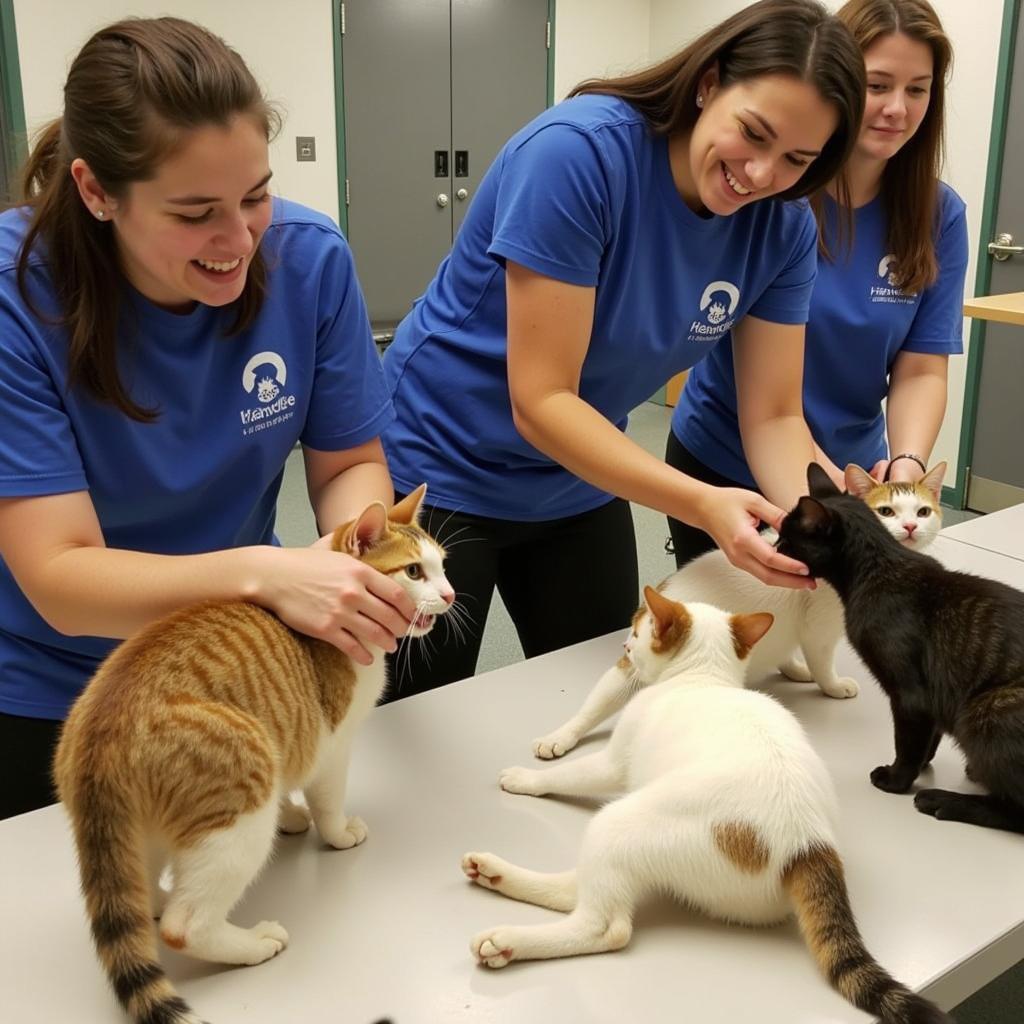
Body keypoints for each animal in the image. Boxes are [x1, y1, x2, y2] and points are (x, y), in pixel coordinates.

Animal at [52, 485, 452, 1024]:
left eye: (442, 565)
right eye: (413, 572)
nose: (450, 595)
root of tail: (103, 726)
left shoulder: (290, 738)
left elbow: (291, 789)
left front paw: (293, 816)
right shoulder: (332, 744)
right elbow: (328, 801)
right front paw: (336, 832)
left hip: (143, 827)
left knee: (148, 887)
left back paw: (155, 897)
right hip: (239, 806)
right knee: (184, 925)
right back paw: (252, 943)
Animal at [464, 589, 950, 1024]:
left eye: (637, 630)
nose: (624, 646)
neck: (703, 678)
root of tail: (809, 846)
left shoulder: (613, 764)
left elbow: (567, 775)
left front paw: (524, 779)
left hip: (620, 821)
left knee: (604, 925)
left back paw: (506, 941)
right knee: (578, 888)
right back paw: (493, 873)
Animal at [532, 464, 946, 761]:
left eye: (923, 511)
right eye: (887, 511)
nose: (910, 526)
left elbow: (788, 648)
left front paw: (793, 669)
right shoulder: (819, 629)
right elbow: (822, 662)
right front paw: (829, 683)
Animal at [774, 464, 1024, 831]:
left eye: (787, 540)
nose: (774, 545)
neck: (878, 568)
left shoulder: (909, 695)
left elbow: (906, 743)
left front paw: (896, 780)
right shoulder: (932, 698)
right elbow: (927, 738)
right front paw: (922, 765)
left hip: (985, 711)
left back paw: (943, 801)